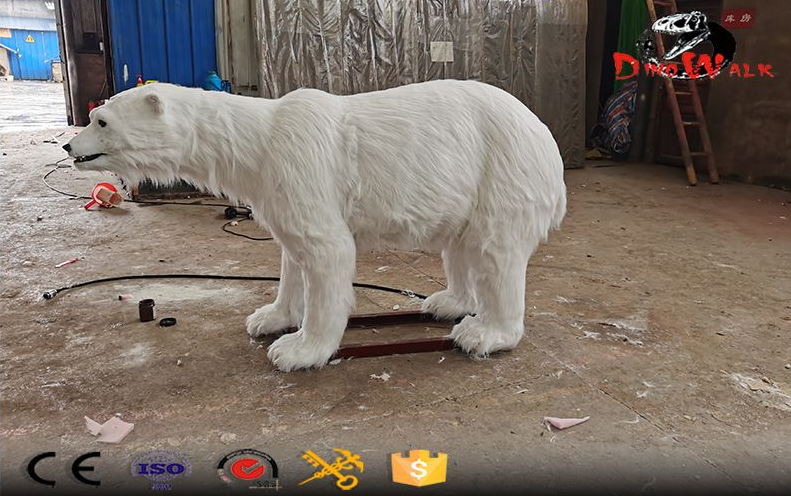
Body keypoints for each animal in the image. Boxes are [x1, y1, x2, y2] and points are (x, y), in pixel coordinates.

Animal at [64, 80, 566, 371]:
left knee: (495, 249)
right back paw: (447, 304)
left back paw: (483, 333)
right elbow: (292, 253)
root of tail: (547, 137)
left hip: (504, 170)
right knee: (459, 243)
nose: (69, 146)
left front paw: (298, 350)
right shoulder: (276, 185)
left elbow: (328, 252)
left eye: (100, 119)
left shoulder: (301, 166)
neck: (257, 141)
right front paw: (269, 318)